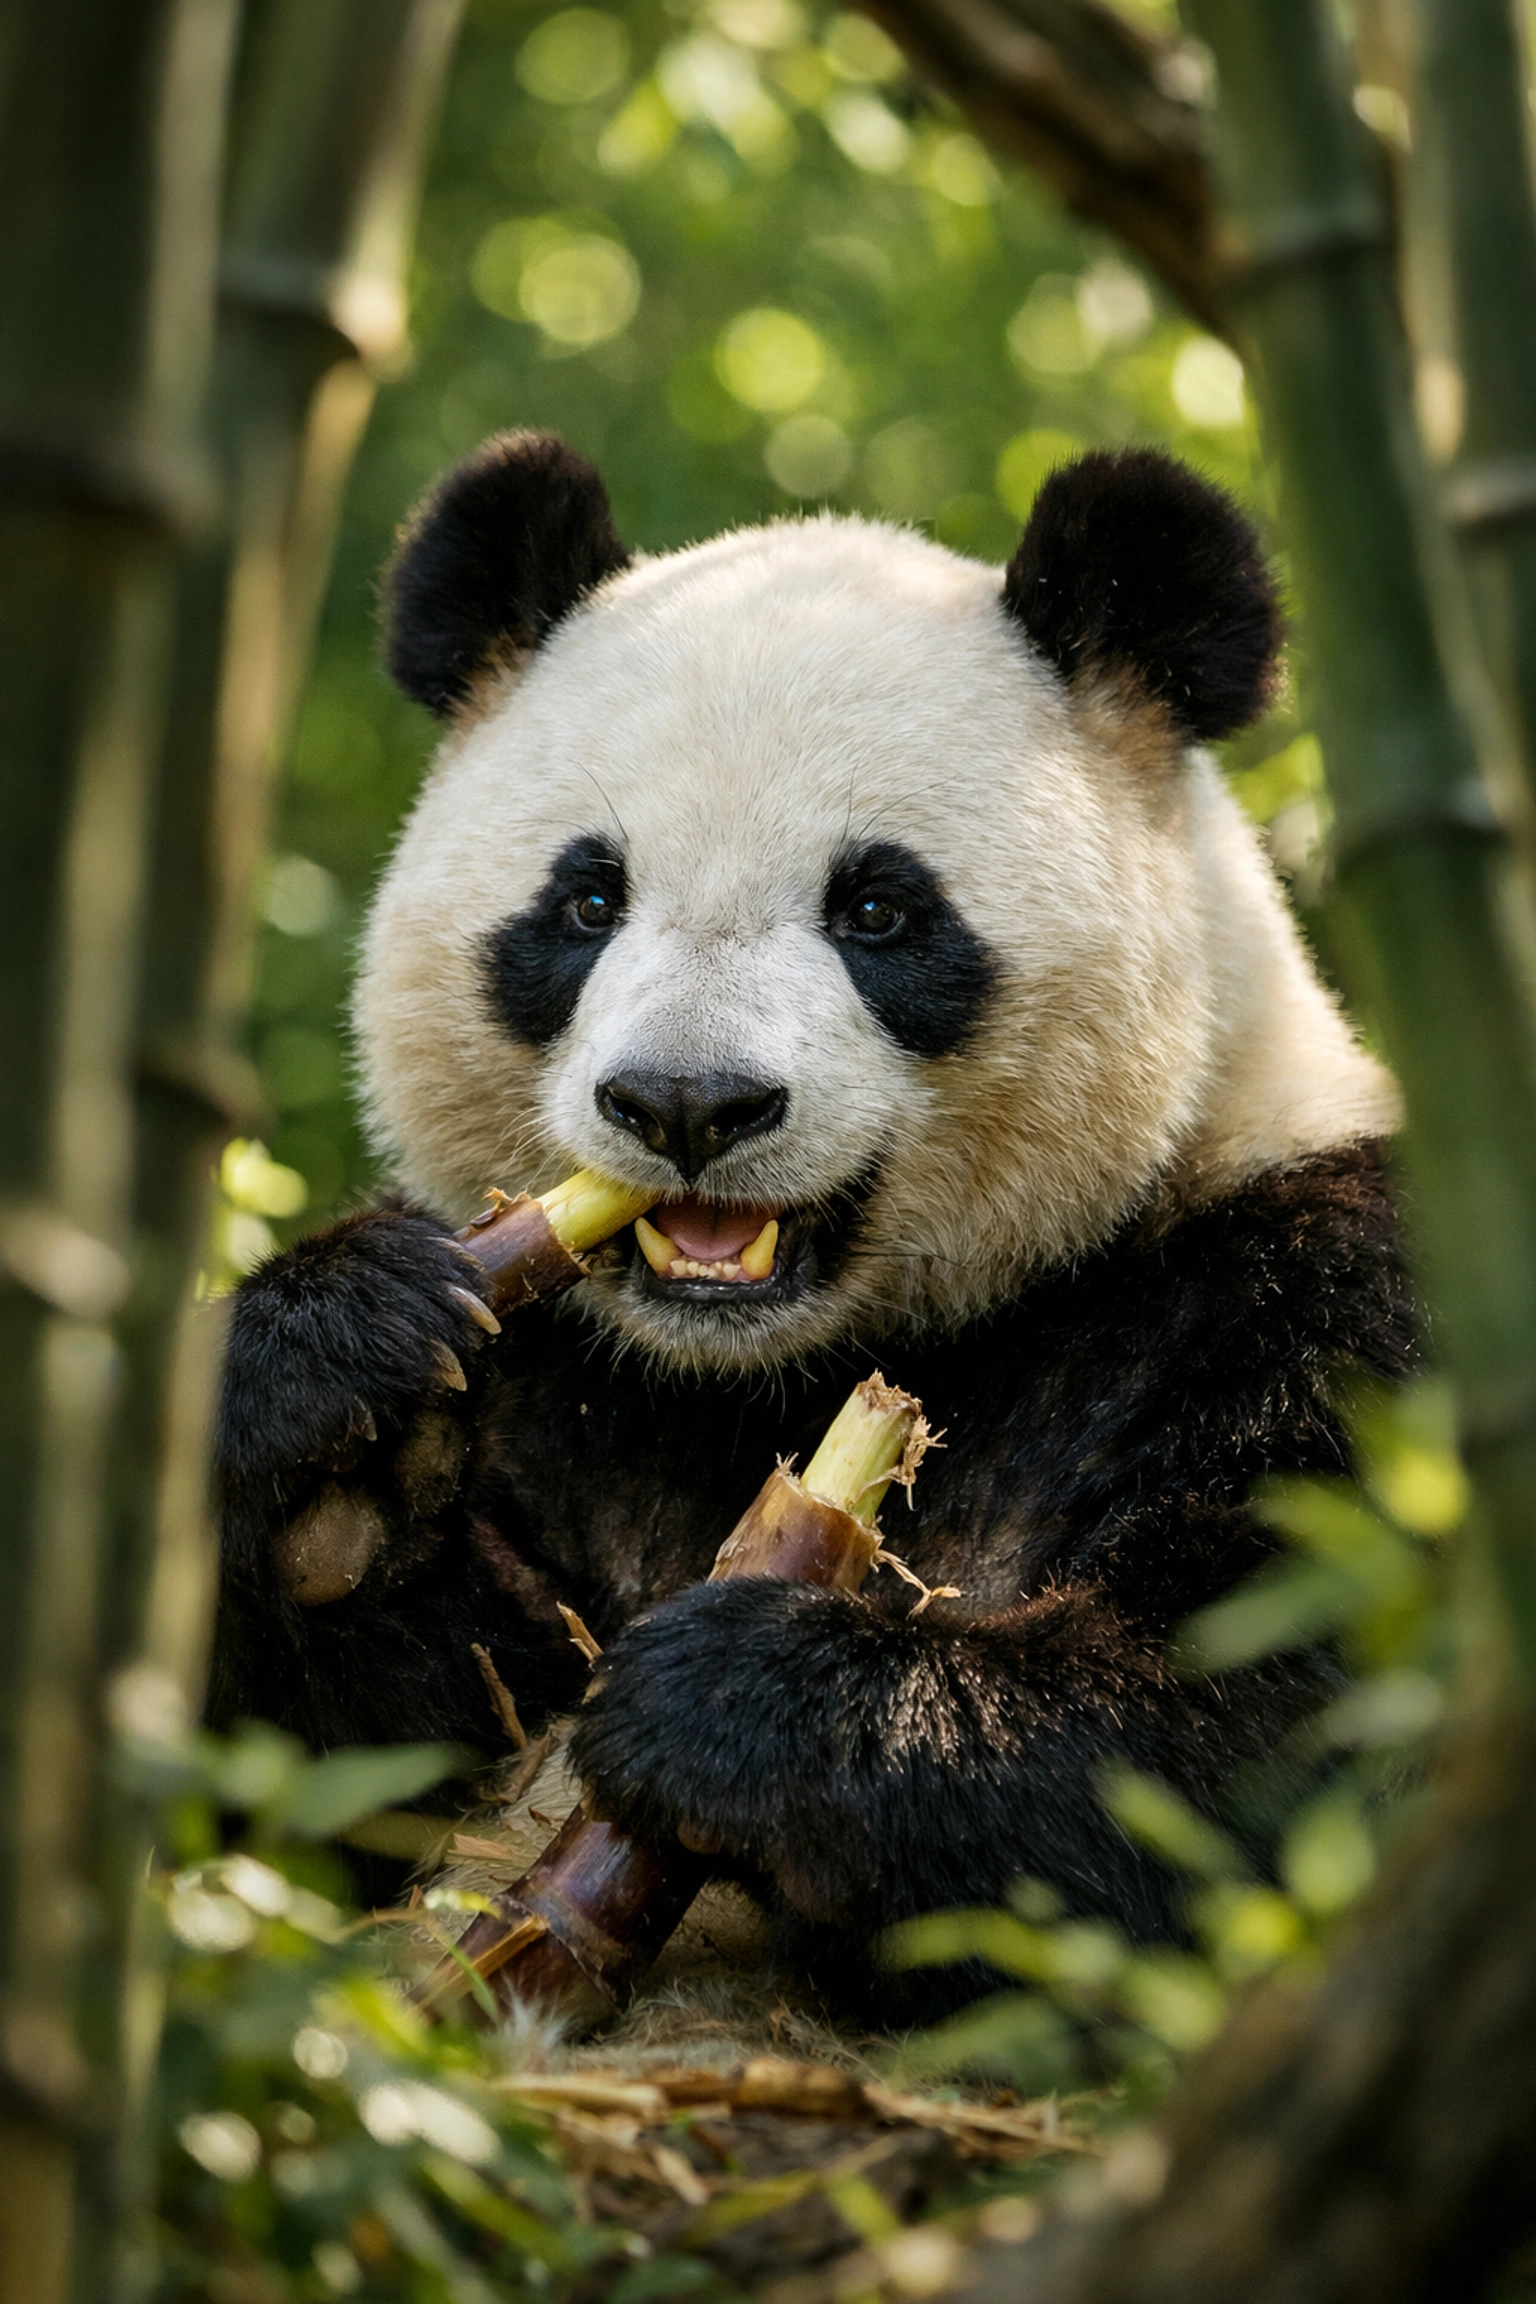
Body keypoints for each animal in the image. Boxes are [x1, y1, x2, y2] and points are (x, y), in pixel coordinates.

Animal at [213, 430, 1414, 2015]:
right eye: (587, 899)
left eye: (880, 912)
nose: (686, 1104)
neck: (753, 1373)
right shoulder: (559, 1391)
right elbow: (334, 1783)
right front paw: (340, 1434)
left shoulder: (1293, 1282)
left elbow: (1263, 1718)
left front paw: (733, 1704)